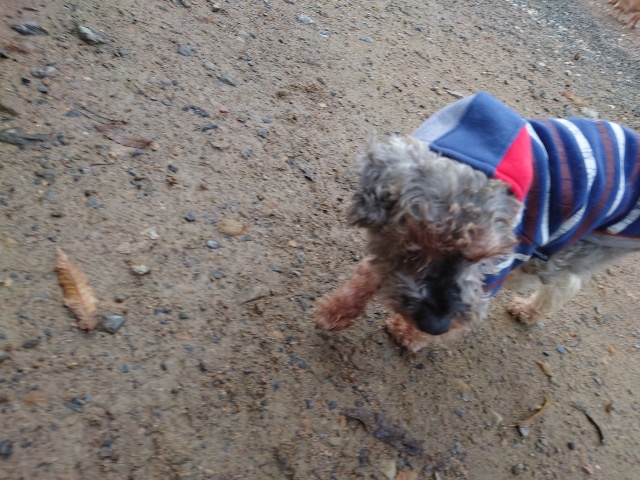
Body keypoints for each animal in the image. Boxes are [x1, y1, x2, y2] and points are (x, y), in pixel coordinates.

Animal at [315, 92, 640, 352]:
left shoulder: (495, 272)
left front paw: (410, 335)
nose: (435, 325)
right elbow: (368, 273)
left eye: (483, 257)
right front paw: (337, 309)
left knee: (564, 282)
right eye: (415, 244)